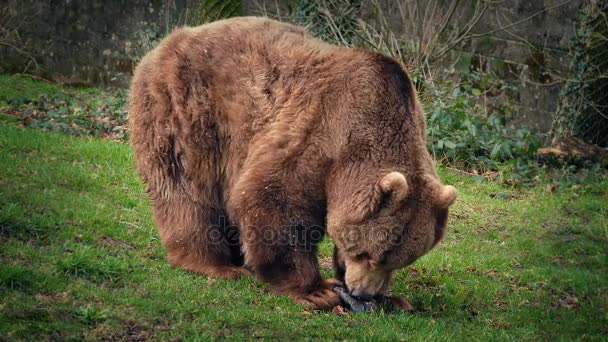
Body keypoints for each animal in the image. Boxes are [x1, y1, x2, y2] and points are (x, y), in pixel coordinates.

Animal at [132, 16, 456, 310]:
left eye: (399, 260)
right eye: (368, 254)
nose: (364, 293)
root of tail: (169, 40)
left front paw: (395, 299)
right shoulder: (320, 129)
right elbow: (274, 199)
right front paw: (317, 291)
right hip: (185, 107)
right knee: (185, 189)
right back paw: (215, 264)